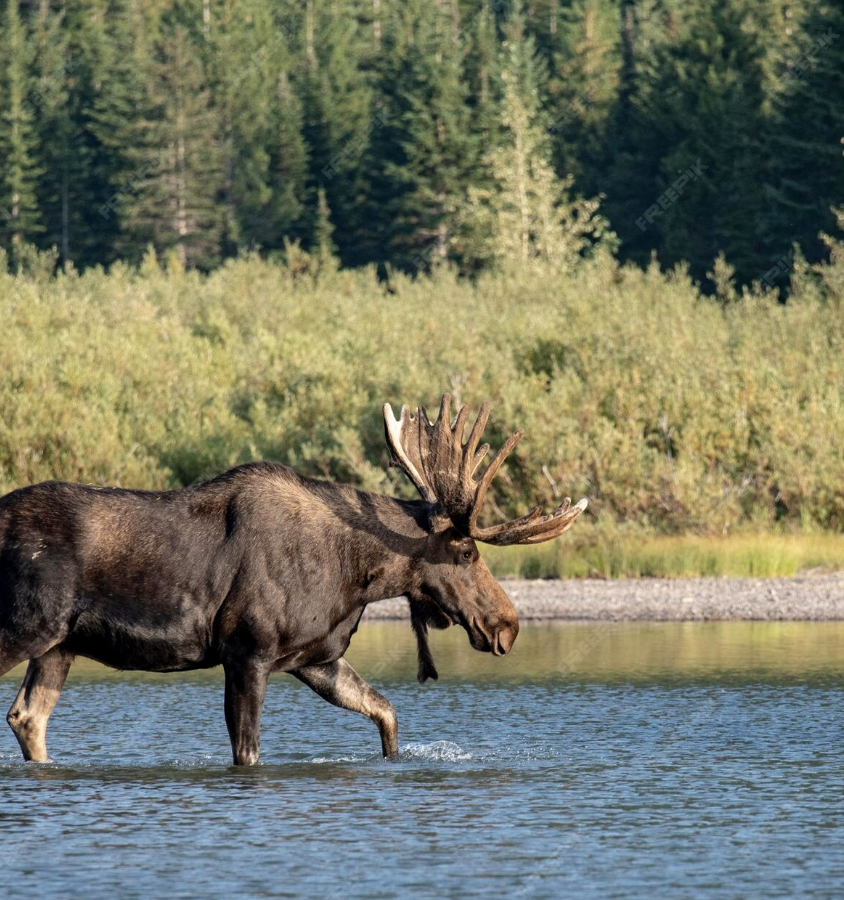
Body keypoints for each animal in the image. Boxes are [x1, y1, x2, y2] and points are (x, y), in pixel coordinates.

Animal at [0, 395, 586, 765]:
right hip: (24, 627)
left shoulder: (315, 658)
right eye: (466, 550)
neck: (357, 577)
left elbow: (386, 712)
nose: (507, 625)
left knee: (27, 717)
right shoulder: (247, 652)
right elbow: (248, 752)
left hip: (60, 645)